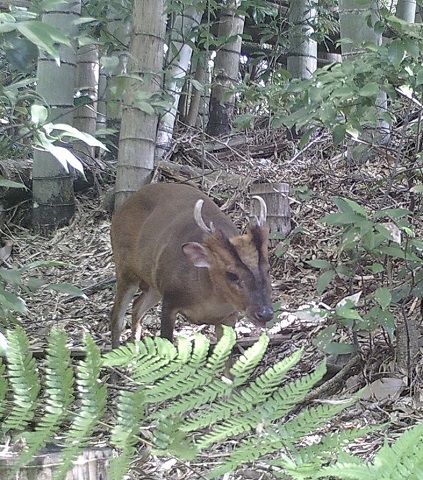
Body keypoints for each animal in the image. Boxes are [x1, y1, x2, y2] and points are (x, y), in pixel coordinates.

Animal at [111, 182, 274, 346]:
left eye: (267, 269)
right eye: (232, 275)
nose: (265, 314)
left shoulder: (229, 316)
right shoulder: (170, 301)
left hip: (154, 284)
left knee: (136, 306)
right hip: (125, 267)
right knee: (116, 315)